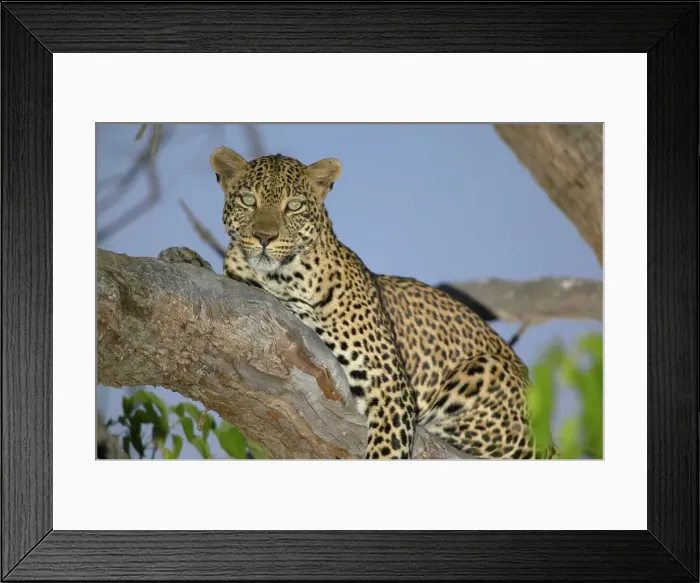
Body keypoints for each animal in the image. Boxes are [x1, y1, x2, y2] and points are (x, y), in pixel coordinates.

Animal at [161, 147, 558, 460]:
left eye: (294, 206)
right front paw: (183, 256)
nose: (264, 237)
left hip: (485, 376)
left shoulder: (390, 383)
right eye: (248, 200)